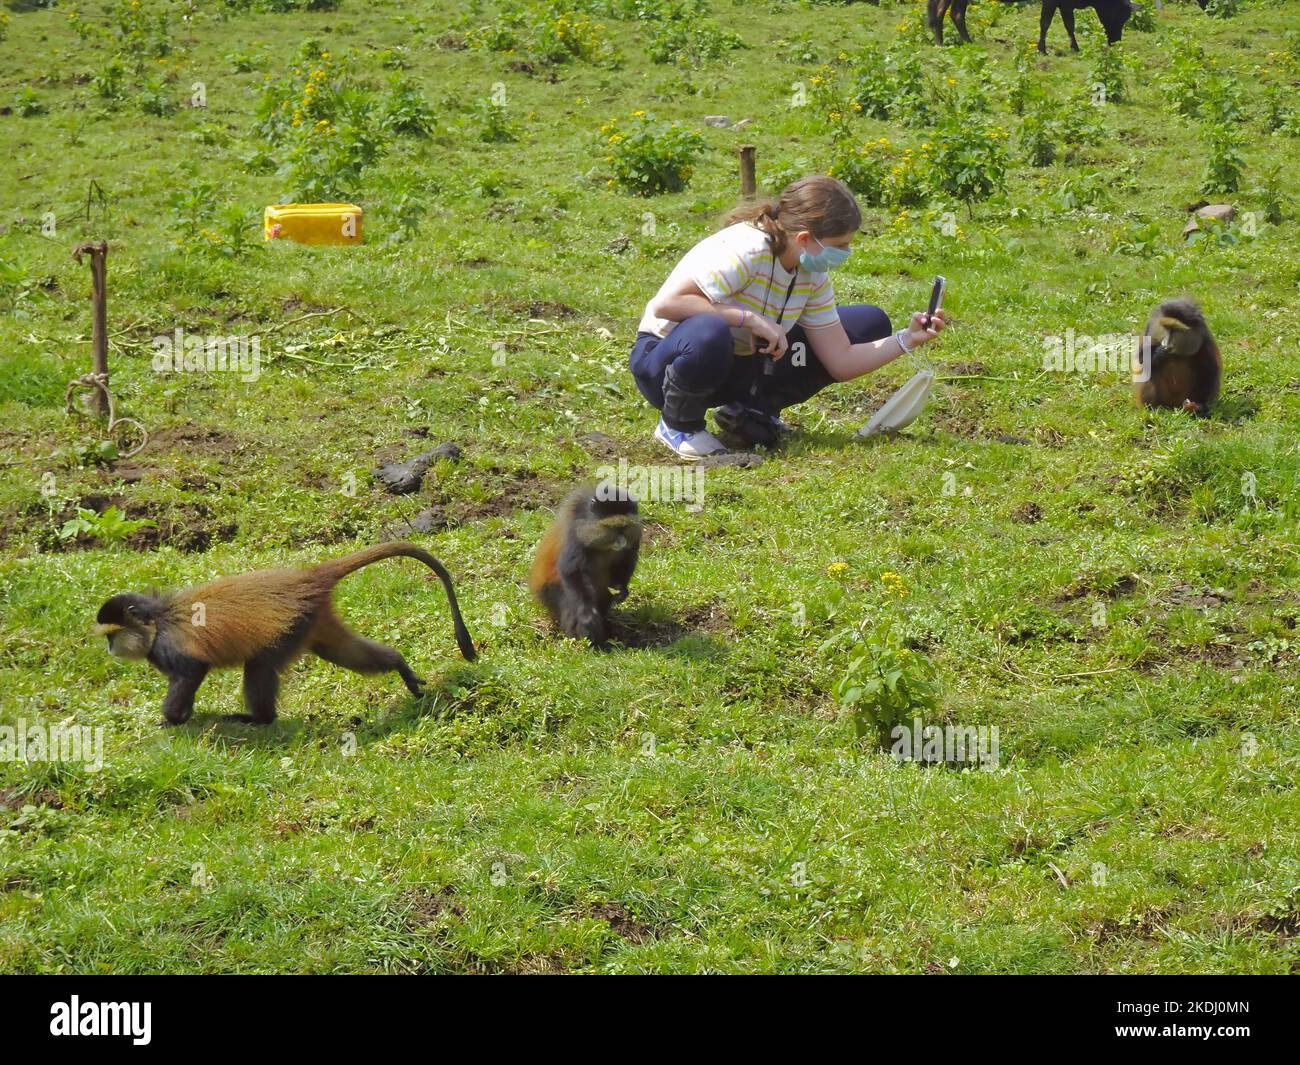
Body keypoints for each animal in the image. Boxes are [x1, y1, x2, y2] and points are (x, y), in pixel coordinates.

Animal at [94, 540, 478, 723]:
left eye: (112, 635)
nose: (110, 649)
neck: (157, 619)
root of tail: (307, 579)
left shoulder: (170, 648)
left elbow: (191, 672)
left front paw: (174, 720)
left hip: (290, 625)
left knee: (260, 666)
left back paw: (260, 721)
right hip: (311, 620)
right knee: (339, 651)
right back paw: (399, 664)